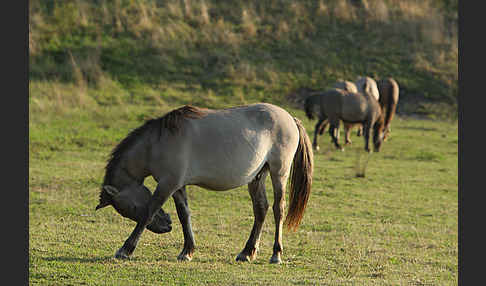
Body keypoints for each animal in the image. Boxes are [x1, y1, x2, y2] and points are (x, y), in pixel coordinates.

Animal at [96, 103, 316, 264]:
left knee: (279, 210)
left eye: (133, 208)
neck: (157, 143)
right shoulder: (178, 187)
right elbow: (184, 215)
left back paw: (276, 254)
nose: (166, 226)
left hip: (279, 173)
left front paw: (125, 249)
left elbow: (149, 211)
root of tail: (290, 118)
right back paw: (246, 252)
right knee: (261, 209)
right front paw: (187, 251)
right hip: (257, 177)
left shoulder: (168, 184)